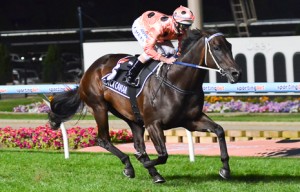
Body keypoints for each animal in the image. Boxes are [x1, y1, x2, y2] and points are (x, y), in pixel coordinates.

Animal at [48, 28, 241, 183]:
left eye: (230, 46)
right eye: (216, 48)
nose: (236, 73)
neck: (177, 81)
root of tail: (89, 70)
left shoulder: (191, 120)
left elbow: (219, 130)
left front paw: (225, 169)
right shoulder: (153, 123)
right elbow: (163, 154)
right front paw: (146, 164)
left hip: (131, 117)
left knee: (138, 144)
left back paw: (148, 169)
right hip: (99, 107)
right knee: (103, 139)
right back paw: (130, 166)